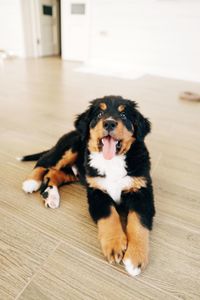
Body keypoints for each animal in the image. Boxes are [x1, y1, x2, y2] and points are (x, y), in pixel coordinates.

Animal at [19, 96, 155, 276]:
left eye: (123, 115)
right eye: (99, 114)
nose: (109, 123)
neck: (112, 161)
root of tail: (72, 132)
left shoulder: (142, 191)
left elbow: (139, 223)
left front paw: (135, 258)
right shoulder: (96, 192)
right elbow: (109, 216)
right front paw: (114, 245)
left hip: (76, 171)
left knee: (53, 174)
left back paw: (51, 195)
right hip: (69, 148)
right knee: (44, 162)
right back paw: (31, 182)